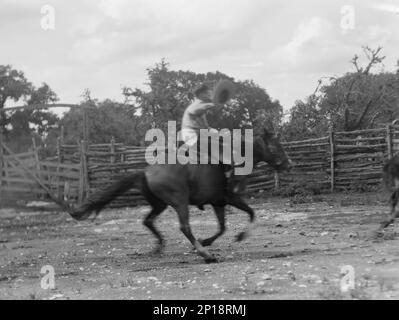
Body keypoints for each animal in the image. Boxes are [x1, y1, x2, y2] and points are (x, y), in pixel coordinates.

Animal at [71, 129, 290, 264]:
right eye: (275, 147)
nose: (289, 164)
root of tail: (146, 171)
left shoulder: (218, 203)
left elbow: (222, 227)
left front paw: (207, 240)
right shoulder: (231, 199)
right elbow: (251, 214)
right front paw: (239, 236)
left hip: (159, 204)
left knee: (148, 221)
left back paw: (160, 246)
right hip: (180, 201)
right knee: (184, 227)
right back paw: (206, 255)